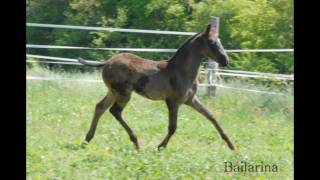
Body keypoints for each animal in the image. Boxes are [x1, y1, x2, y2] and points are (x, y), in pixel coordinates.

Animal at [78, 23, 238, 151]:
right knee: (115, 111)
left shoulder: (190, 100)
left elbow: (212, 117)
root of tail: (107, 62)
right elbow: (173, 127)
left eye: (219, 41)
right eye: (211, 42)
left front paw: (231, 145)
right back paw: (135, 142)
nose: (225, 60)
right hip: (124, 93)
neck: (180, 71)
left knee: (100, 107)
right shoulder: (172, 102)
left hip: (113, 92)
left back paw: (86, 140)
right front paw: (160, 146)